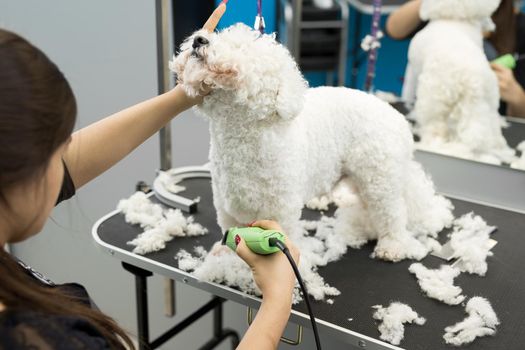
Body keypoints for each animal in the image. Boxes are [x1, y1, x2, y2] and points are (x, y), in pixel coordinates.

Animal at [170, 23, 452, 260]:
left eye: (241, 48)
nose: (199, 39)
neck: (241, 137)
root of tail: (399, 121)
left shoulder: (281, 210)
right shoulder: (226, 203)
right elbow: (228, 228)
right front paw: (224, 253)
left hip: (380, 177)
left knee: (392, 212)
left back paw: (392, 245)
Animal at [406, 0, 512, 163]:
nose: (492, 26)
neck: (454, 20)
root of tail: (470, 80)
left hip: (433, 101)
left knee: (435, 130)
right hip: (488, 104)